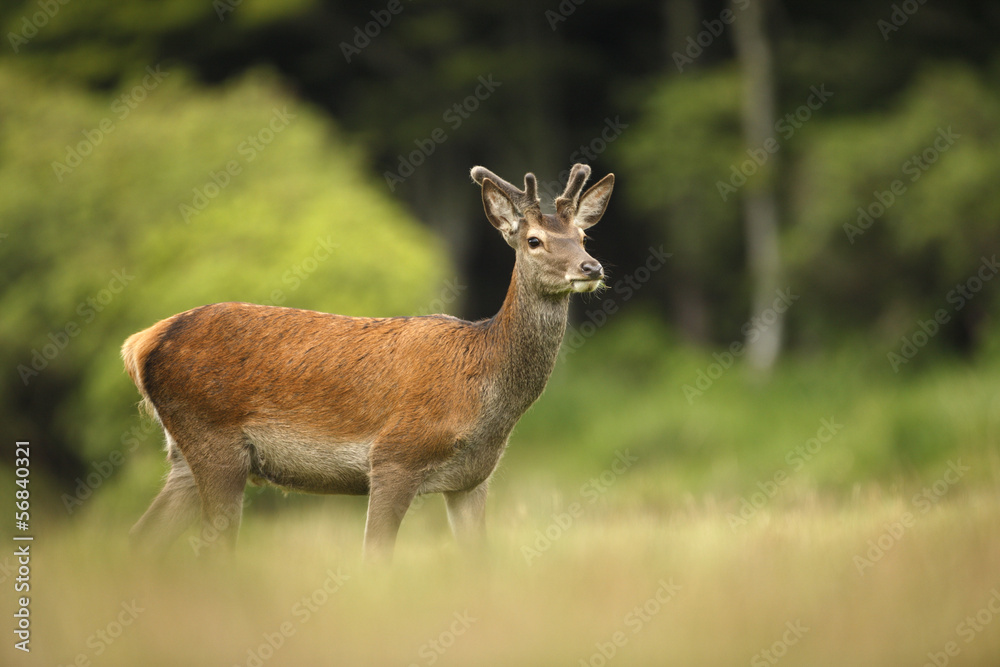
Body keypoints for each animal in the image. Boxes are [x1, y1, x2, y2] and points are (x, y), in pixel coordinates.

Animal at [121, 162, 612, 560]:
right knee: (212, 550)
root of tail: (141, 343)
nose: (591, 267)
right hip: (214, 438)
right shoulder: (395, 456)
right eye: (534, 240)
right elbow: (375, 556)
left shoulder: (472, 480)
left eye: (584, 236)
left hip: (184, 455)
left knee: (140, 538)